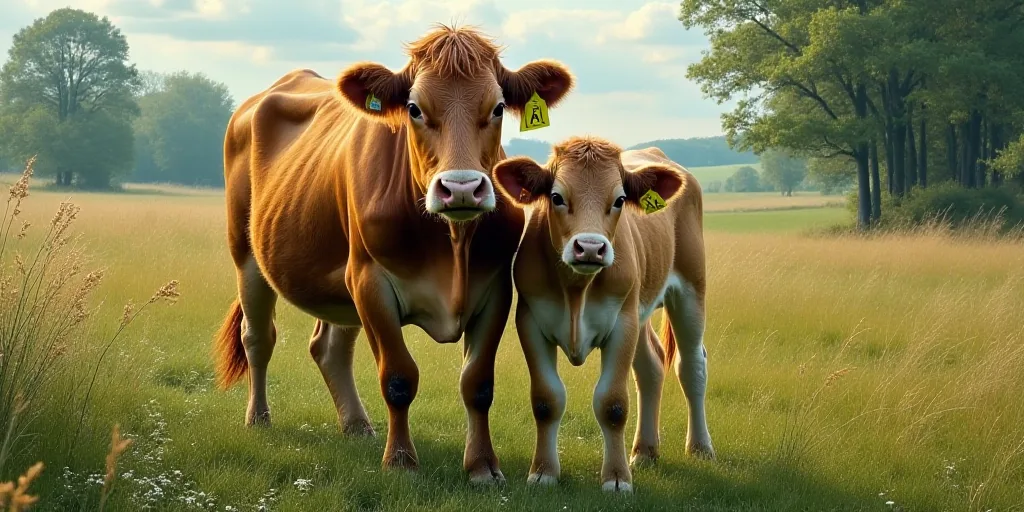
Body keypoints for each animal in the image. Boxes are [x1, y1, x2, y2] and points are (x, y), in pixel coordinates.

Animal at [211, 24, 574, 483]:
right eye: (415, 109)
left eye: (496, 108)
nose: (460, 188)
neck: (451, 244)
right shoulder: (371, 281)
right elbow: (398, 378)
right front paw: (401, 461)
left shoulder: (495, 290)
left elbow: (477, 383)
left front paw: (482, 467)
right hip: (248, 256)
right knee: (258, 337)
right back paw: (258, 417)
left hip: (338, 283)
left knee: (329, 348)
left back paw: (356, 425)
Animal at [490, 136, 715, 492]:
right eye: (556, 196)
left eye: (620, 199)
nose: (591, 248)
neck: (576, 289)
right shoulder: (530, 322)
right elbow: (546, 400)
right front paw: (543, 472)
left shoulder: (622, 324)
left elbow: (613, 404)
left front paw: (617, 478)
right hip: (641, 309)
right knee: (651, 367)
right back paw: (645, 450)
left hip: (691, 291)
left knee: (691, 365)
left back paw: (700, 446)